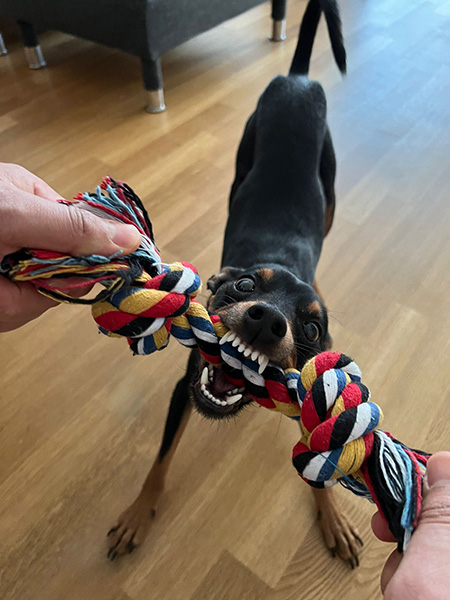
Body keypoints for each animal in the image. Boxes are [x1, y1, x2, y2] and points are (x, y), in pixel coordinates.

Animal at [108, 0, 362, 568]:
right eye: (245, 286)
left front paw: (333, 517)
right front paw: (137, 515)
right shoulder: (187, 385)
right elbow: (160, 460)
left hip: (330, 188)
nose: (267, 322)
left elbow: (321, 463)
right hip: (244, 162)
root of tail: (297, 79)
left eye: (311, 330)